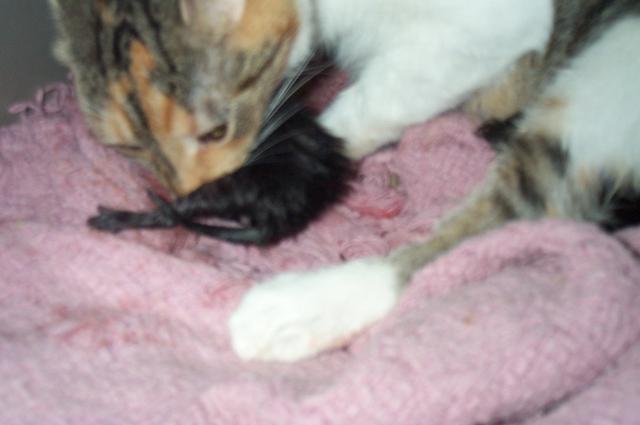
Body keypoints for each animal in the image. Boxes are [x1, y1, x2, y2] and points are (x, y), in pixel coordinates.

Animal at [49, 0, 640, 362]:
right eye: (129, 146)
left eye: (216, 130)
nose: (187, 191)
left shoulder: (495, 26)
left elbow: (381, 96)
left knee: (508, 223)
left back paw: (305, 306)